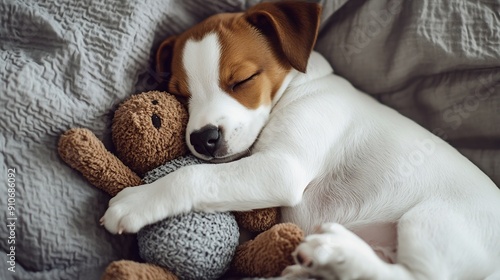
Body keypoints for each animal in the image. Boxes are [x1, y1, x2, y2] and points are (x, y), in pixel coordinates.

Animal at [100, 2, 500, 280]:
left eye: (242, 80)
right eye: (181, 94)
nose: (203, 139)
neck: (299, 87)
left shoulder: (281, 168)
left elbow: (192, 176)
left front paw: (139, 199)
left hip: (434, 221)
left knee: (412, 276)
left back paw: (335, 252)